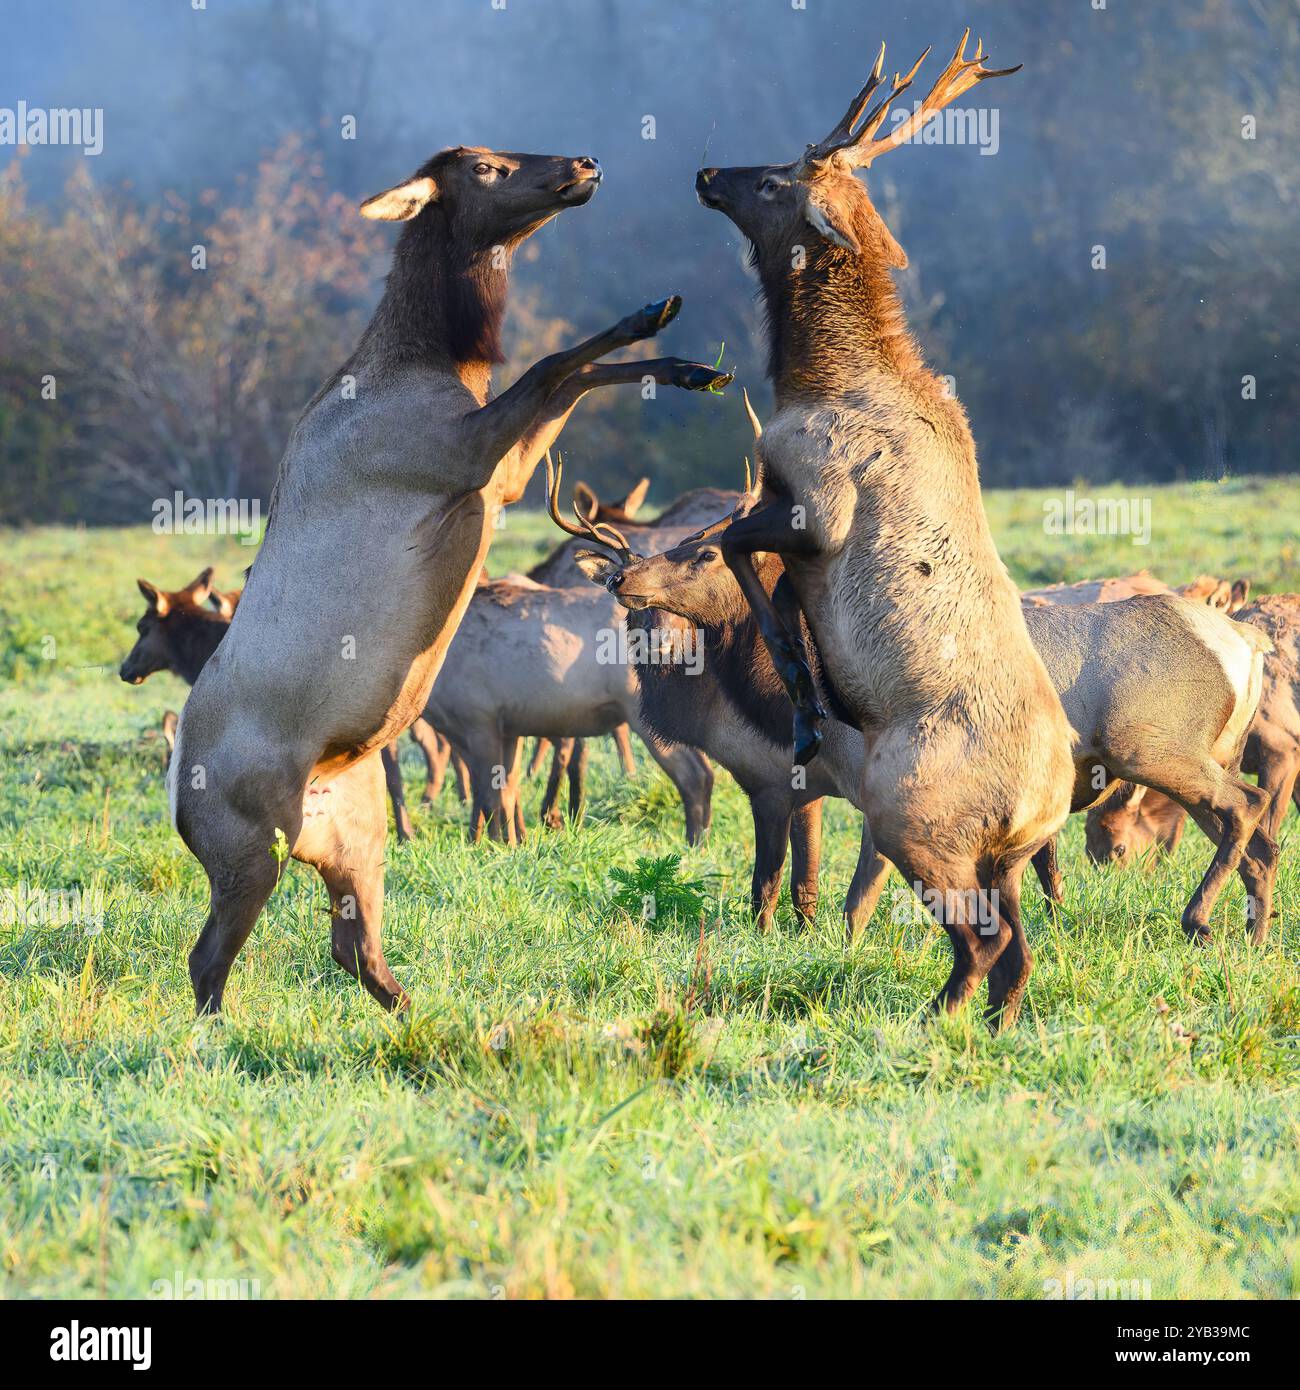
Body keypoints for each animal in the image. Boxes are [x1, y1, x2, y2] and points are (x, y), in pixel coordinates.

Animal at [700, 35, 1078, 1034]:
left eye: (778, 178)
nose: (708, 170)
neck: (813, 379)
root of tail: (1042, 805)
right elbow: (757, 569)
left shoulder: (817, 501)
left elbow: (735, 546)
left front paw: (804, 702)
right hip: (1000, 858)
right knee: (1018, 948)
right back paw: (990, 1022)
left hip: (911, 816)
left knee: (980, 940)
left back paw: (936, 1017)